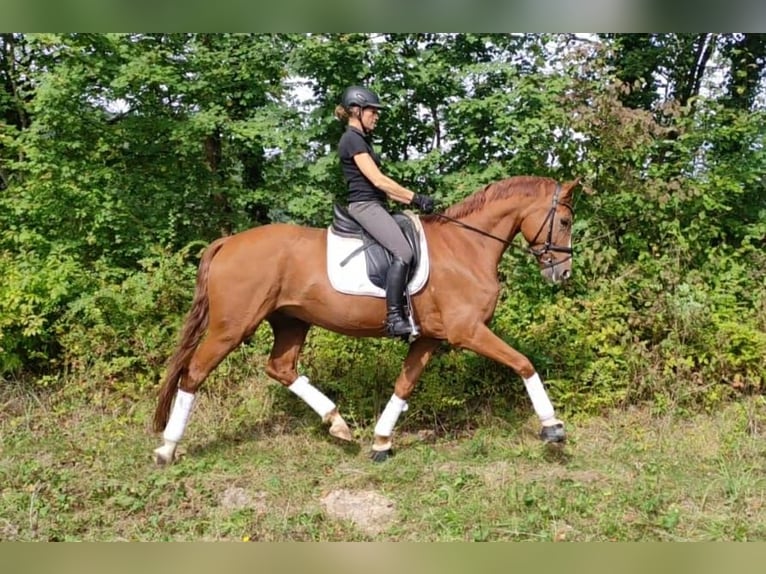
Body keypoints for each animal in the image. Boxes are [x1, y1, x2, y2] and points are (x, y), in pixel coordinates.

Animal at [153, 177, 580, 468]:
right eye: (564, 220)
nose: (562, 273)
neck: (468, 246)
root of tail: (228, 242)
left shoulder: (429, 338)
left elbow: (404, 385)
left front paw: (381, 441)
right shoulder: (468, 331)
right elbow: (524, 364)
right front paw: (552, 427)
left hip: (291, 322)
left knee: (280, 367)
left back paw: (337, 424)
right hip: (231, 327)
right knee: (194, 373)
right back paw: (167, 448)